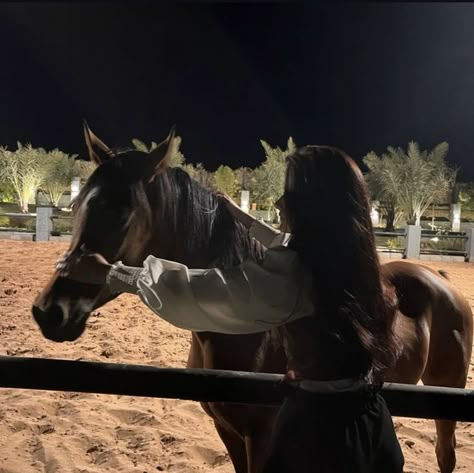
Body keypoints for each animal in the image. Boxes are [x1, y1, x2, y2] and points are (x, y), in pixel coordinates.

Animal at [31, 125, 472, 472]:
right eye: (78, 204)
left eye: (122, 210)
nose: (49, 312)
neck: (241, 328)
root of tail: (441, 280)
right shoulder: (229, 432)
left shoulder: (261, 438)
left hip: (445, 395)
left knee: (445, 455)